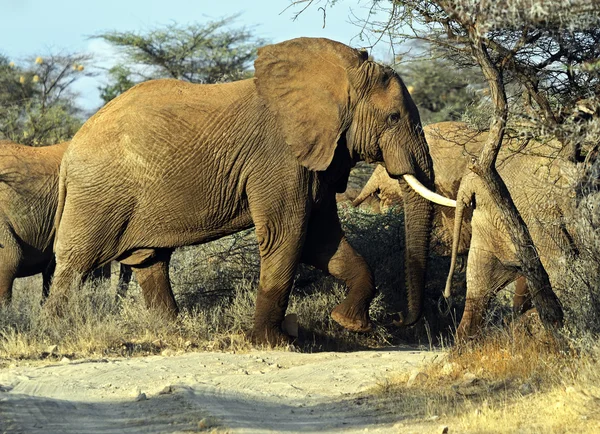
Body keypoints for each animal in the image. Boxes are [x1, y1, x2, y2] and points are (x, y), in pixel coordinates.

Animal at [51, 37, 454, 344]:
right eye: (394, 118)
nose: (399, 321)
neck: (335, 76)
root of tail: (69, 151)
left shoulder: (315, 162)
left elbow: (323, 241)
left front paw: (348, 322)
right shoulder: (279, 158)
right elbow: (287, 235)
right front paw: (274, 343)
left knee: (151, 263)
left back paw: (173, 332)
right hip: (97, 194)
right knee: (75, 263)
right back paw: (56, 329)